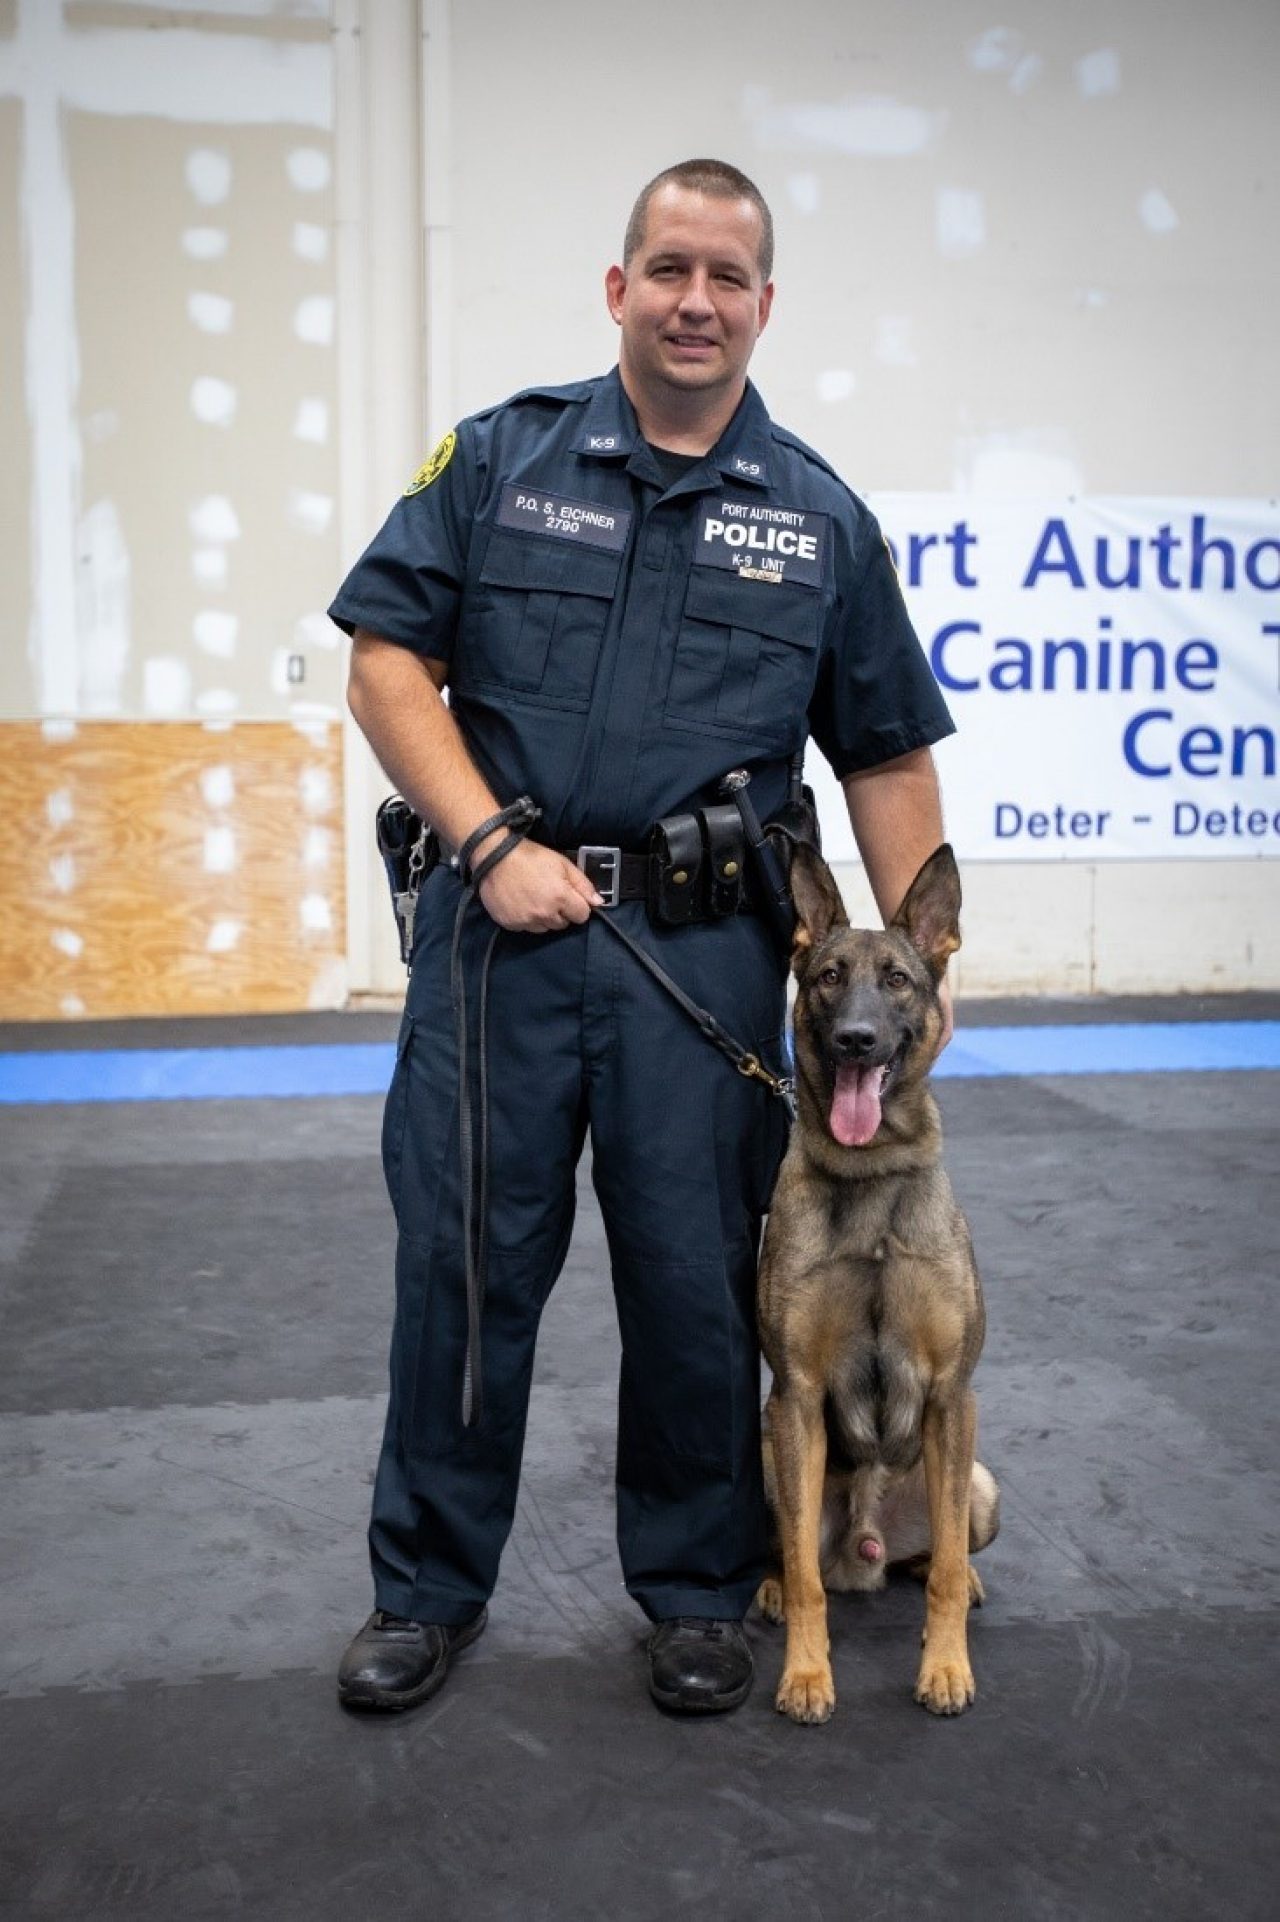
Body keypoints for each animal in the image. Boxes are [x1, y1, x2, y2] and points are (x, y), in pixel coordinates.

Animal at [757, 841, 999, 1729]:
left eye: (896, 978)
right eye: (828, 977)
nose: (857, 1040)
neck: (868, 1178)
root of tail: (865, 1543)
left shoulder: (951, 1395)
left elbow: (940, 1575)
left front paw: (946, 1669)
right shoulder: (794, 1397)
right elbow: (803, 1573)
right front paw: (805, 1676)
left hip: (977, 1485)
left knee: (938, 1553)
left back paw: (955, 1578)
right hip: (769, 1453)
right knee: (794, 1556)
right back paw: (769, 1591)